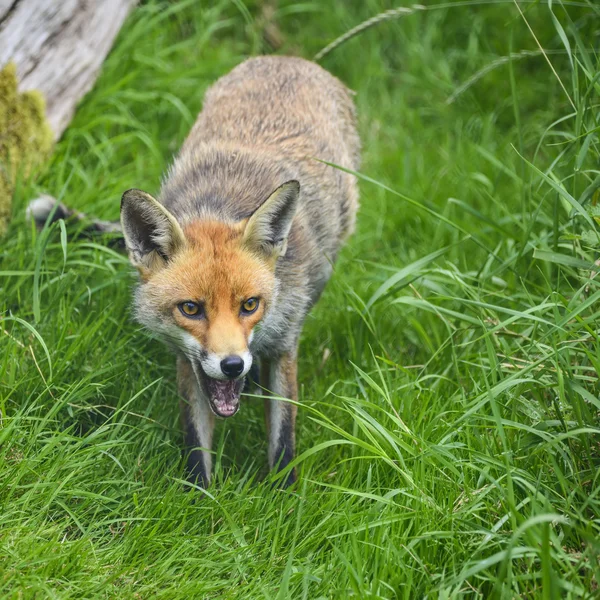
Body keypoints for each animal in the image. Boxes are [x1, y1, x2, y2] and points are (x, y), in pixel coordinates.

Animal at [29, 56, 360, 488]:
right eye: (191, 309)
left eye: (250, 305)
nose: (233, 365)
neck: (219, 205)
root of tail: (288, 59)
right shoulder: (186, 359)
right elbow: (195, 439)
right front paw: (198, 494)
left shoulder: (285, 342)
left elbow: (283, 435)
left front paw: (285, 495)